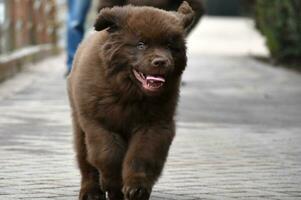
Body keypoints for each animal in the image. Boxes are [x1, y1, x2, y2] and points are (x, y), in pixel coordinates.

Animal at [67, 1, 195, 200]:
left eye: (169, 45)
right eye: (141, 44)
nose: (161, 61)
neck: (129, 94)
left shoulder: (154, 124)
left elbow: (141, 155)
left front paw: (136, 188)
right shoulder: (98, 122)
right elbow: (108, 154)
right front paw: (113, 185)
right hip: (79, 124)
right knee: (85, 161)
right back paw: (91, 192)